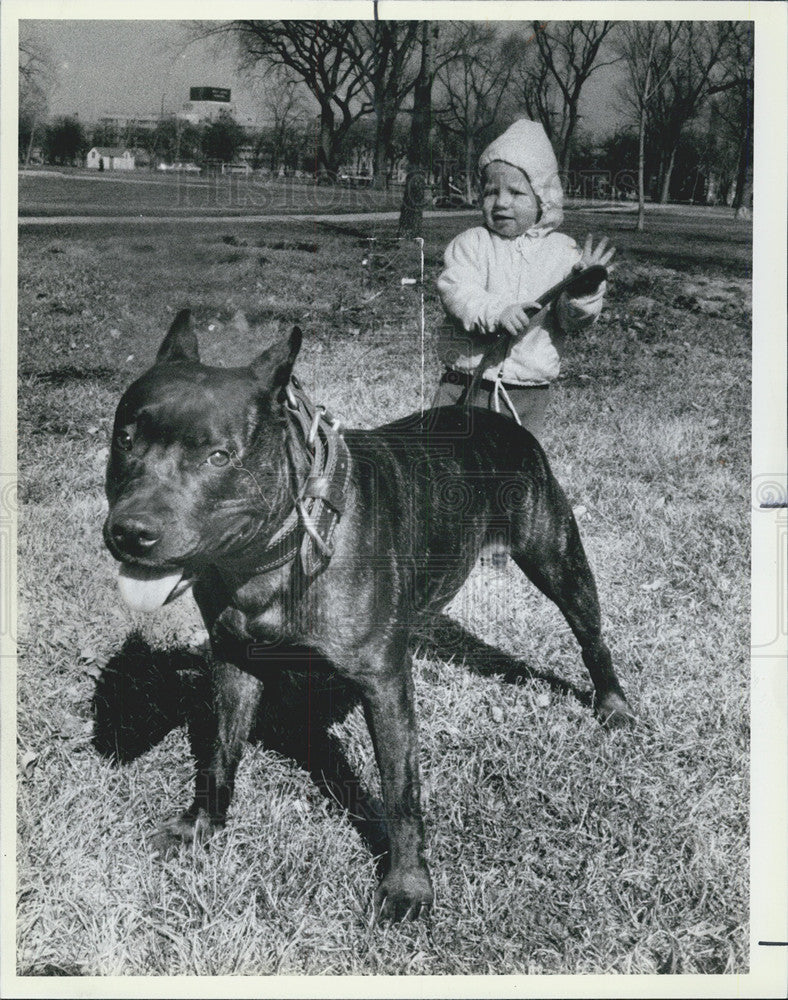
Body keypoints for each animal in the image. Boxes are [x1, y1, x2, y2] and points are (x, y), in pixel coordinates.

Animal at [104, 310, 636, 920]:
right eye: (124, 440)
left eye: (216, 456)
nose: (130, 531)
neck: (273, 551)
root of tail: (484, 413)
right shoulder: (233, 664)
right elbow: (218, 754)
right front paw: (200, 827)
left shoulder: (383, 684)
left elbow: (400, 792)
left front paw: (408, 886)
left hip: (558, 559)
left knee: (591, 636)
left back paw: (613, 704)